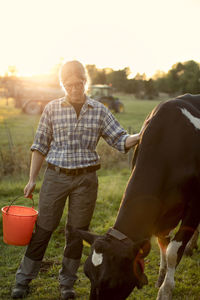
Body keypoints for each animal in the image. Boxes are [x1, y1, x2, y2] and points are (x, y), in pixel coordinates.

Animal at [78, 94, 200, 300]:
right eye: (87, 274)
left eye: (110, 281)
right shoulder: (163, 211)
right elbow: (163, 243)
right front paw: (161, 277)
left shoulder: (194, 205)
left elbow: (173, 251)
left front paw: (165, 291)